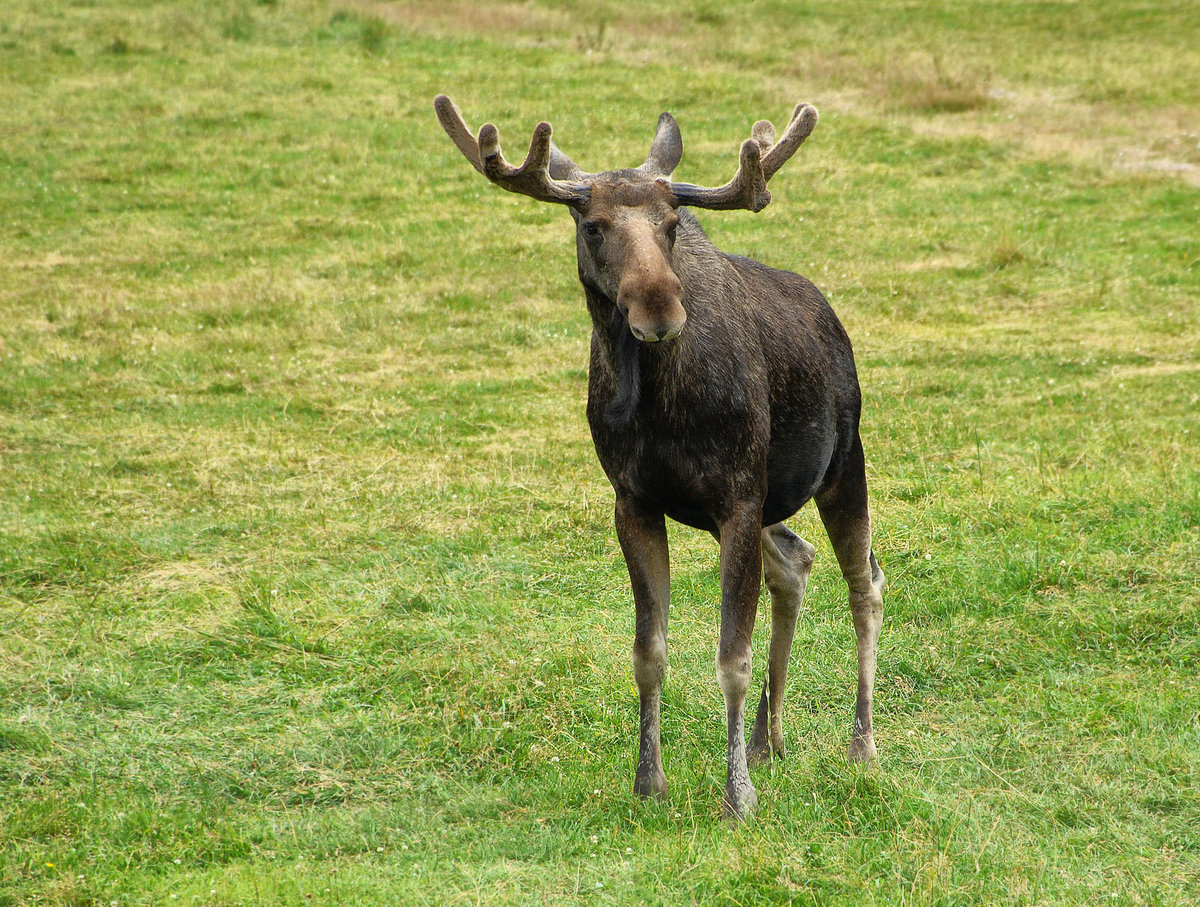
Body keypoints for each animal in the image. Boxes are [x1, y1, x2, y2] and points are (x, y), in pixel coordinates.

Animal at [436, 95, 888, 820]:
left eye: (672, 222)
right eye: (592, 225)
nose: (658, 306)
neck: (660, 407)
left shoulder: (738, 496)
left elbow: (731, 656)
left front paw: (736, 797)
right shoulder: (634, 499)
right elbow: (649, 650)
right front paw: (649, 781)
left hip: (843, 462)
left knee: (865, 581)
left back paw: (861, 745)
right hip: (769, 501)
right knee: (795, 562)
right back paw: (767, 740)